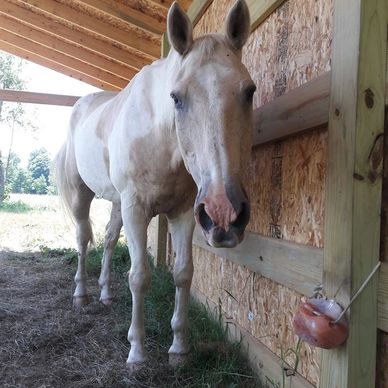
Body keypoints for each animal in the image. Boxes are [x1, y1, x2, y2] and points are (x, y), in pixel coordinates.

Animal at [55, 0, 255, 366]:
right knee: (82, 240)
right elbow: (139, 277)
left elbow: (183, 274)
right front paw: (137, 351)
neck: (160, 139)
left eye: (249, 91)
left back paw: (105, 293)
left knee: (107, 240)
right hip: (81, 196)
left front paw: (179, 348)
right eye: (176, 97)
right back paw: (82, 294)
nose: (223, 213)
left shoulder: (184, 213)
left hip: (117, 203)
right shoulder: (136, 209)